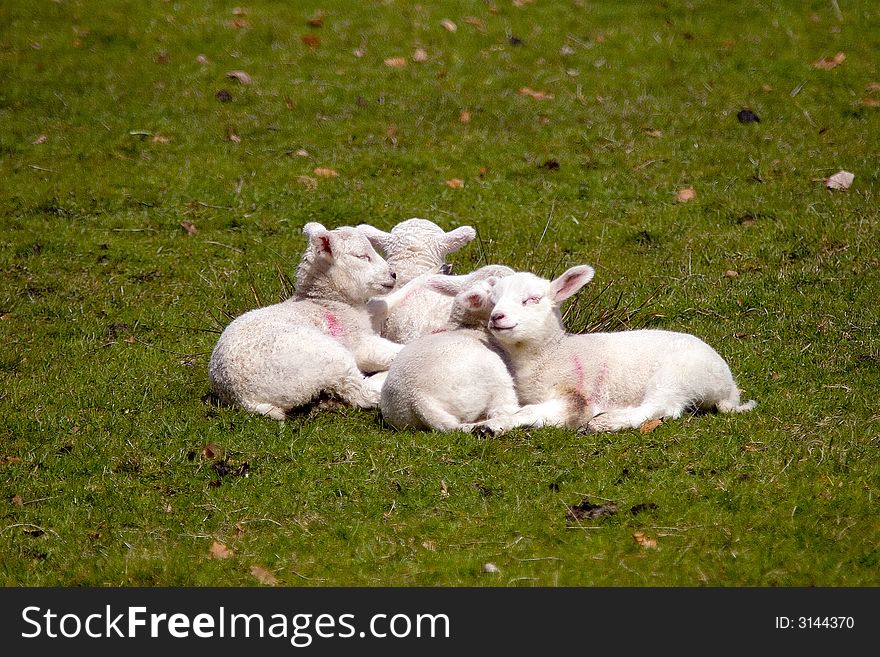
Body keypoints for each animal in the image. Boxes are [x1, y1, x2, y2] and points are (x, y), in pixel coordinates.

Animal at [210, 222, 406, 420]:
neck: (325, 301)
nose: (393, 274)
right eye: (362, 256)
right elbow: (388, 351)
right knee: (361, 392)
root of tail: (244, 399)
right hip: (326, 357)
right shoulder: (357, 339)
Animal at [464, 264, 760, 434]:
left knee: (661, 408)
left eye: (532, 299)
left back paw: (604, 423)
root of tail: (728, 387)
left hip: (679, 375)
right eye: (492, 302)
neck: (551, 353)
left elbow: (533, 413)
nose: (497, 317)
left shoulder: (574, 396)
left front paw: (487, 427)